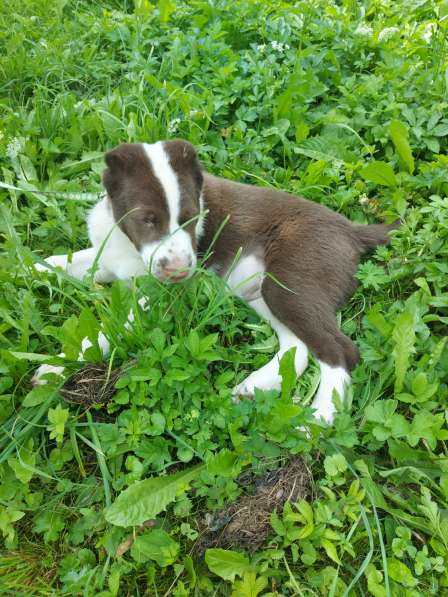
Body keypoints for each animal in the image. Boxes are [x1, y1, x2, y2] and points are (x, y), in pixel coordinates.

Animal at [35, 139, 394, 422]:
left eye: (192, 218)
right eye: (148, 220)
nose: (181, 271)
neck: (127, 242)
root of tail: (351, 229)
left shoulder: (161, 293)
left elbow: (111, 327)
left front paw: (57, 367)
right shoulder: (109, 257)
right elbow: (63, 261)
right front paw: (30, 267)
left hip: (292, 279)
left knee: (339, 349)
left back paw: (318, 418)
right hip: (257, 290)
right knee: (300, 345)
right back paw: (256, 386)